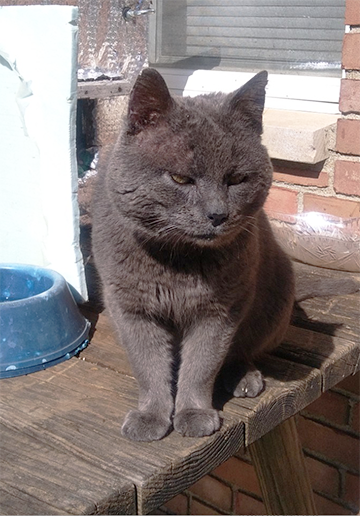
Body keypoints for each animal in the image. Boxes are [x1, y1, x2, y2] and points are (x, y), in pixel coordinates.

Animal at [92, 67, 296, 440]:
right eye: (180, 178)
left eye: (237, 179)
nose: (218, 214)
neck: (178, 262)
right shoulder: (131, 306)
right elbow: (148, 365)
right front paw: (151, 416)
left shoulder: (220, 310)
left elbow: (203, 364)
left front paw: (194, 413)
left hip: (275, 302)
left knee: (242, 350)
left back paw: (244, 377)